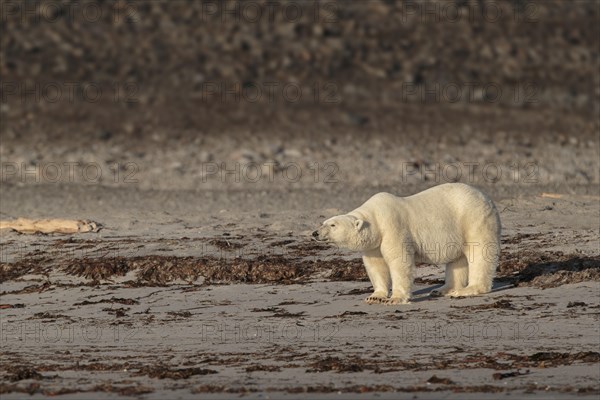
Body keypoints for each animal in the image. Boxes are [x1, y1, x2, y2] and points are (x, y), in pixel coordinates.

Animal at [312, 183, 500, 304]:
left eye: (333, 225)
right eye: (323, 222)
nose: (315, 233)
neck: (376, 217)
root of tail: (489, 199)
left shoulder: (392, 227)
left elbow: (399, 262)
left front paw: (395, 298)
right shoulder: (375, 244)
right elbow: (376, 266)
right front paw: (375, 296)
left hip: (473, 219)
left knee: (479, 254)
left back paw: (466, 290)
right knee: (457, 260)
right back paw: (441, 289)